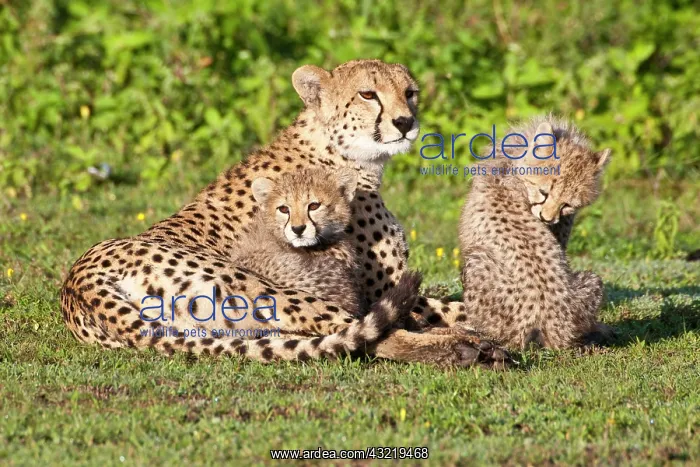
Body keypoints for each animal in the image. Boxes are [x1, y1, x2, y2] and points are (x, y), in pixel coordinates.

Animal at [60, 59, 508, 367]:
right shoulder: (375, 287)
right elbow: (444, 308)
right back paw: (467, 349)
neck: (341, 152)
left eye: (410, 92)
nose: (405, 122)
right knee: (366, 334)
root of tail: (78, 284)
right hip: (264, 288)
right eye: (368, 94)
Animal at [458, 115, 613, 349]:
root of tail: (549, 324)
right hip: (591, 279)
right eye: (543, 192)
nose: (547, 219)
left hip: (477, 260)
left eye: (567, 204)